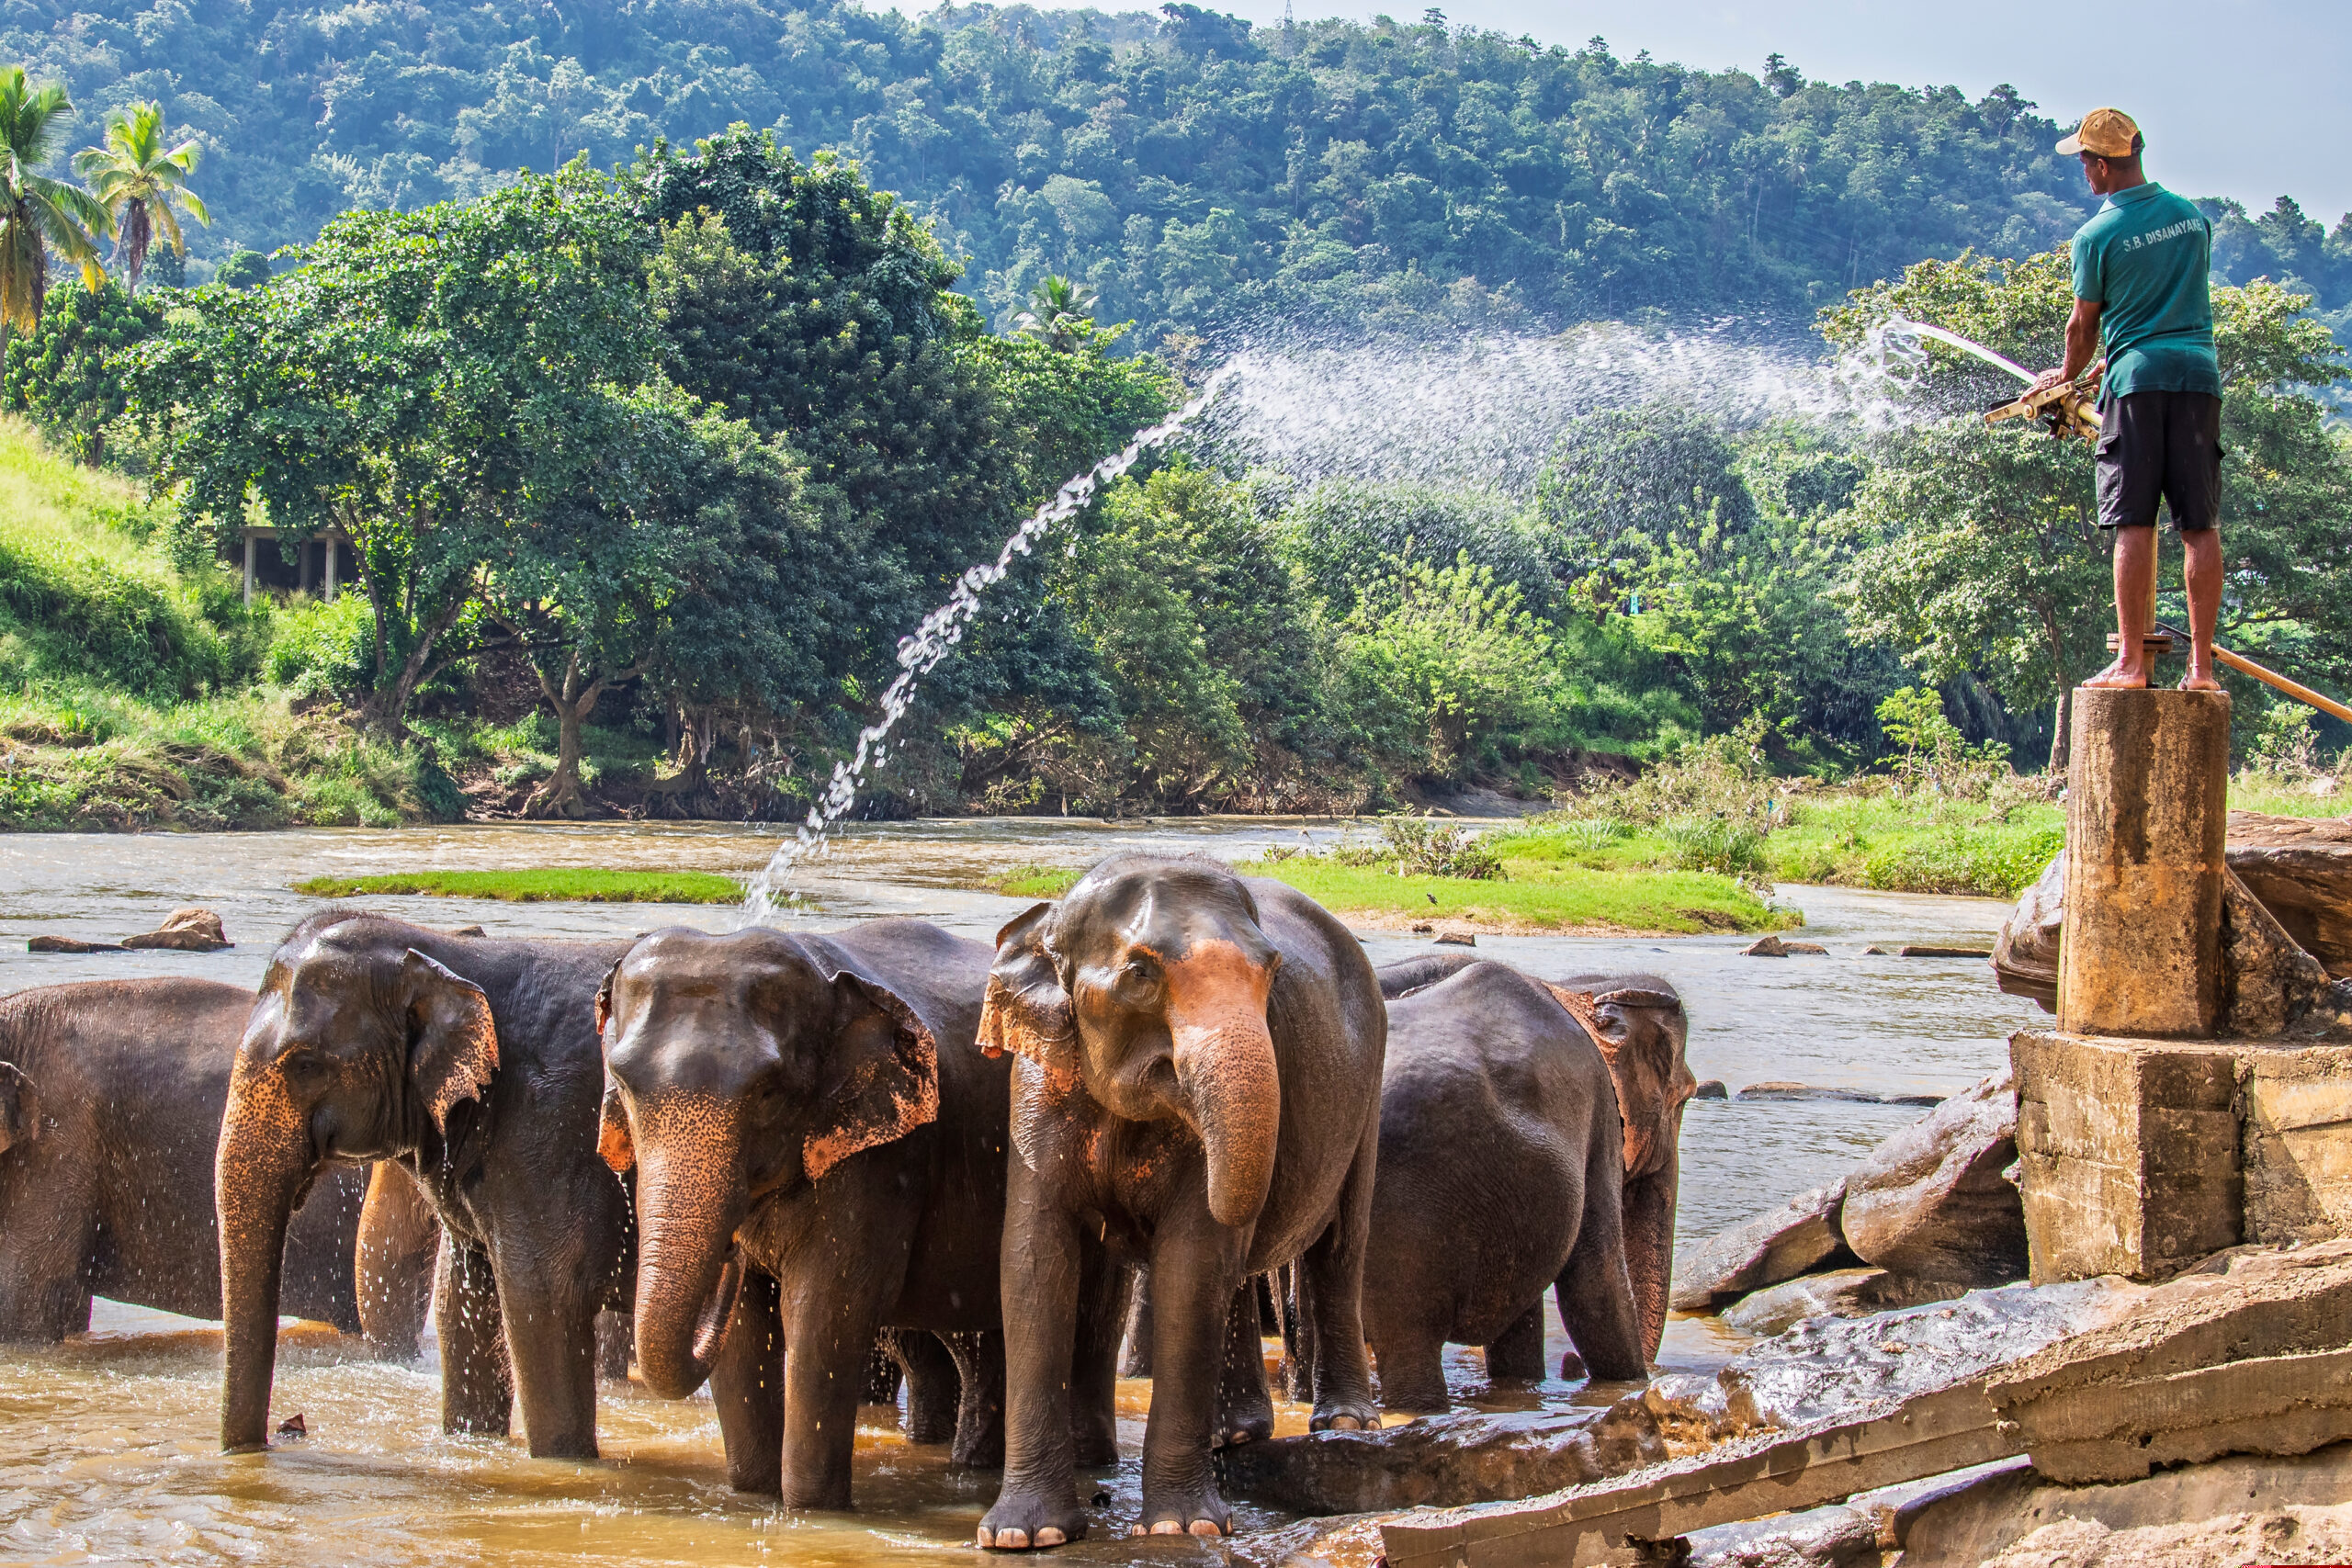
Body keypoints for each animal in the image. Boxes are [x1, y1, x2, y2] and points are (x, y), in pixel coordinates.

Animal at [220, 911, 635, 1458]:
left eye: (305, 1064)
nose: (279, 1436)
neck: (443, 954)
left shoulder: (549, 1131)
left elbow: (543, 1298)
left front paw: (563, 1461)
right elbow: (460, 1296)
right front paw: (472, 1442)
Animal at [597, 919, 1125, 1508]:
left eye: (767, 1095)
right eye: (623, 1086)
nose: (731, 1248)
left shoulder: (884, 1157)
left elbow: (828, 1306)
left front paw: (810, 1509)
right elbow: (745, 1328)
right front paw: (755, 1496)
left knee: (1088, 1325)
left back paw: (1086, 1467)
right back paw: (972, 1467)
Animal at [974, 852, 1386, 1550]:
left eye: (1272, 971)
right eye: (1141, 974)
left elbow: (1193, 1258)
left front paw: (1178, 1526)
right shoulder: (1034, 1088)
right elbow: (1034, 1256)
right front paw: (1023, 1536)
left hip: (1371, 1086)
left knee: (1339, 1246)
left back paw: (1346, 1424)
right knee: (1245, 1274)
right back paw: (1236, 1431)